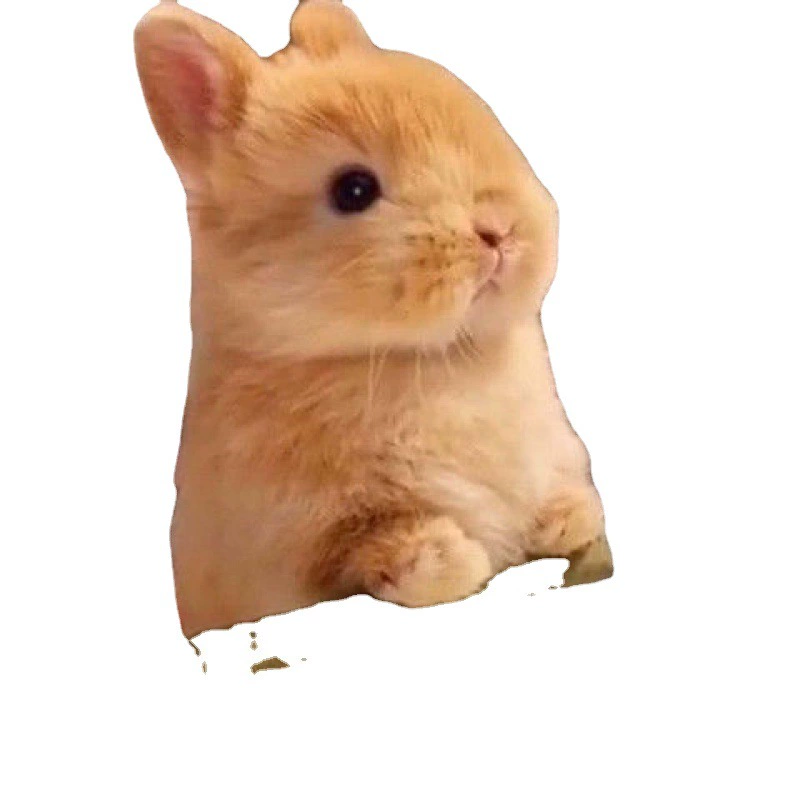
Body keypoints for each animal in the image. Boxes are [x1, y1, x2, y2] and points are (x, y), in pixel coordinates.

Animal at [134, 0, 613, 638]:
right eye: (354, 190)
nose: (497, 230)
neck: (441, 358)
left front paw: (571, 517)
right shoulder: (298, 541)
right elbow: (366, 546)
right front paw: (449, 561)